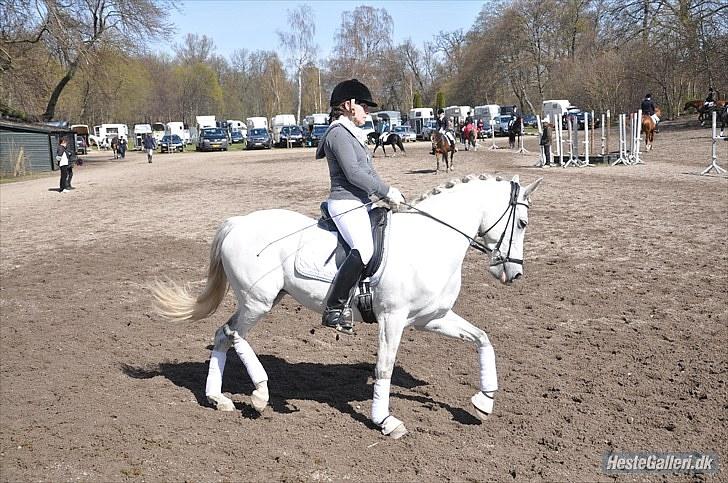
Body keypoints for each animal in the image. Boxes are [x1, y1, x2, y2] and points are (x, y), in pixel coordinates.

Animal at [154, 174, 540, 438]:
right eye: (522, 223)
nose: (515, 273)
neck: (431, 241)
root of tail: (237, 223)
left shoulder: (432, 318)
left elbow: (482, 338)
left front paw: (484, 401)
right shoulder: (392, 319)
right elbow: (384, 367)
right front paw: (385, 420)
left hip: (265, 299)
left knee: (223, 334)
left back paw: (217, 398)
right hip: (257, 301)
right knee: (233, 334)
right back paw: (261, 394)